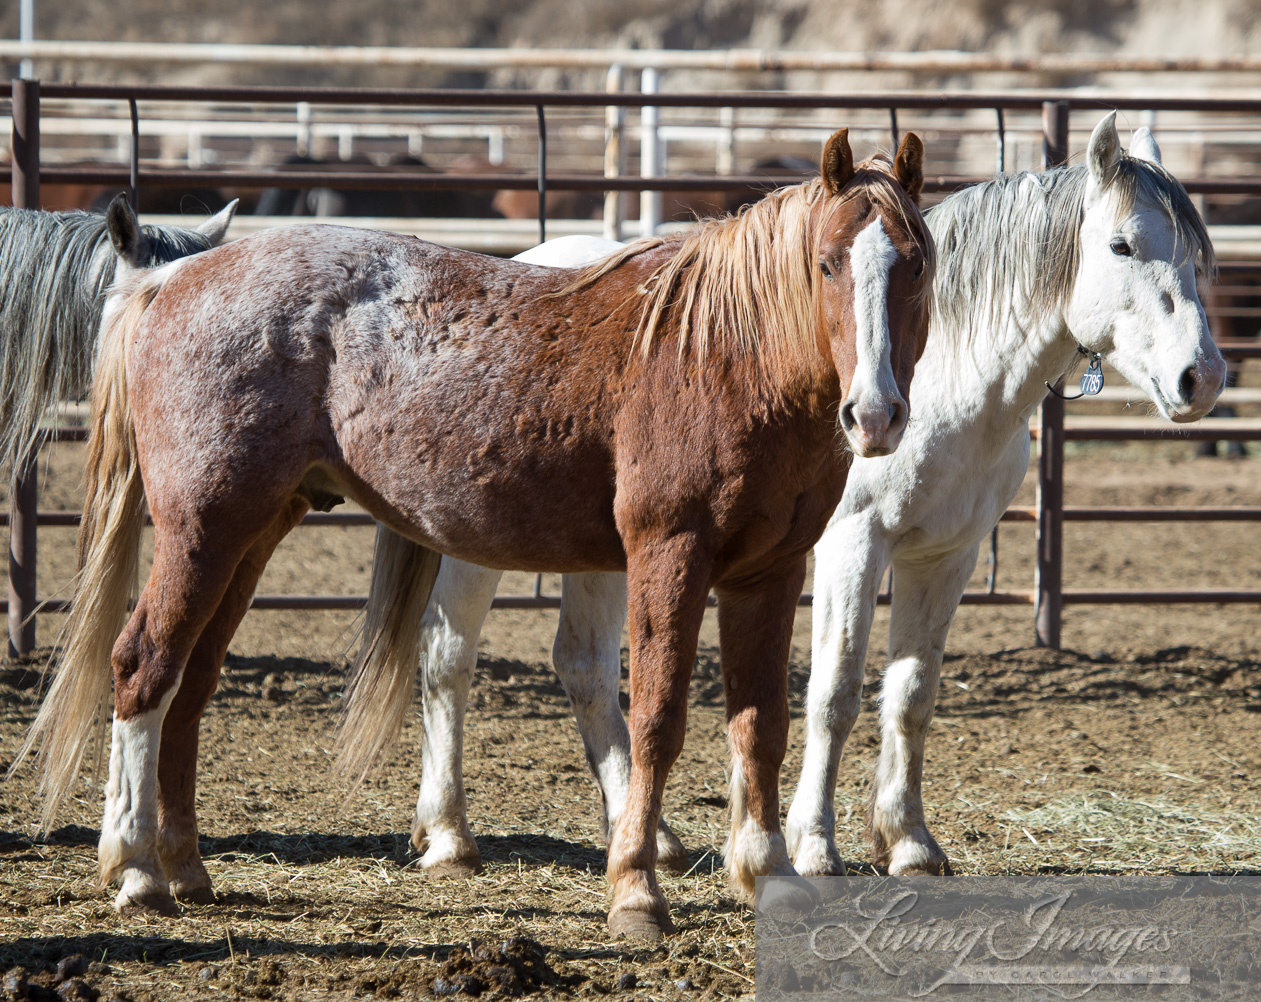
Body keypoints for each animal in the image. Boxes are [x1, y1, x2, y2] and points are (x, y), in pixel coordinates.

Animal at [383, 113, 1220, 887]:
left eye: (1195, 252)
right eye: (1120, 246)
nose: (1201, 377)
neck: (941, 374)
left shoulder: (942, 557)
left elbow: (910, 694)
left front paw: (908, 843)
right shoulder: (853, 544)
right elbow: (833, 693)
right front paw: (814, 845)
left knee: (582, 665)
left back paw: (648, 839)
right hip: (482, 541)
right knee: (448, 655)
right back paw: (450, 835)